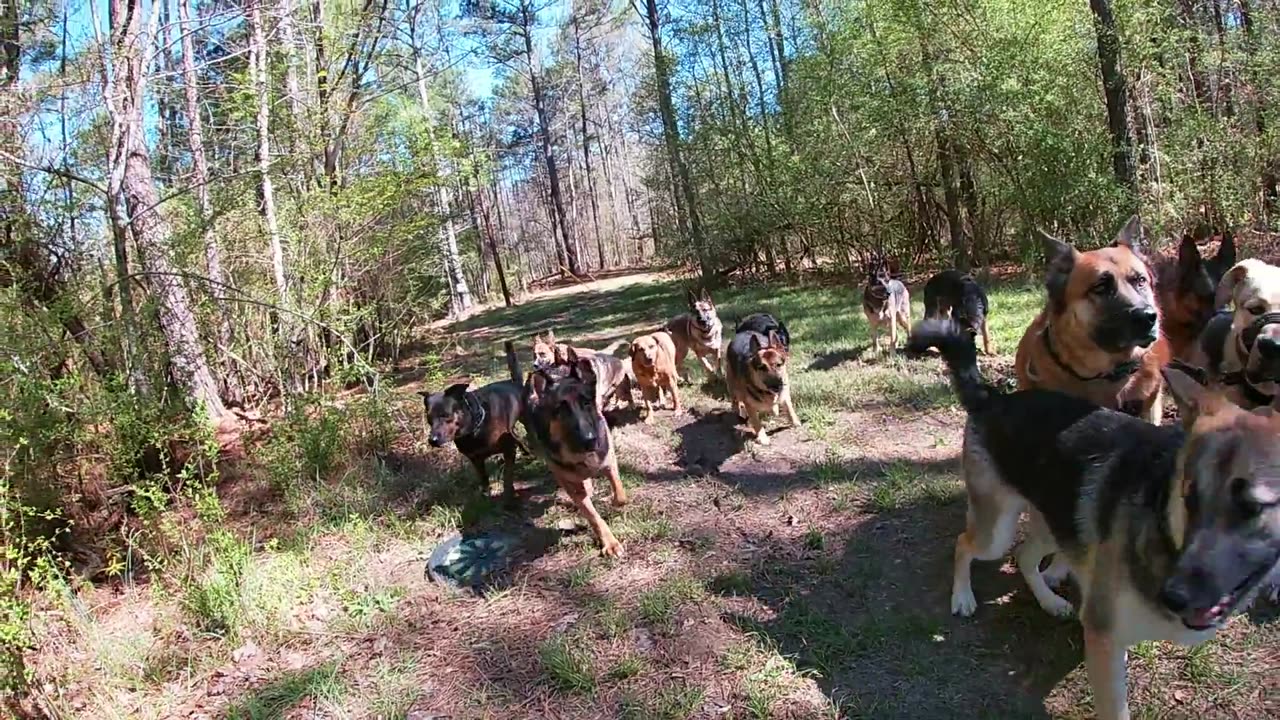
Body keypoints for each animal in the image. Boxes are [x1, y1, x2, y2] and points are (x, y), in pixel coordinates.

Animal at [422, 345, 527, 502]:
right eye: (429, 419)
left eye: (445, 415)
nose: (432, 440)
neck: (475, 429)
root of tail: (514, 382)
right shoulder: (475, 459)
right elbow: (483, 480)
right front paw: (486, 497)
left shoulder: (508, 450)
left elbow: (508, 477)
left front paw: (508, 497)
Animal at [519, 351, 629, 558]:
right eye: (560, 409)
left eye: (586, 402)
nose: (590, 440)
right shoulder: (571, 485)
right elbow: (593, 516)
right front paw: (609, 542)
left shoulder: (608, 459)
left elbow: (619, 493)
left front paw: (615, 502)